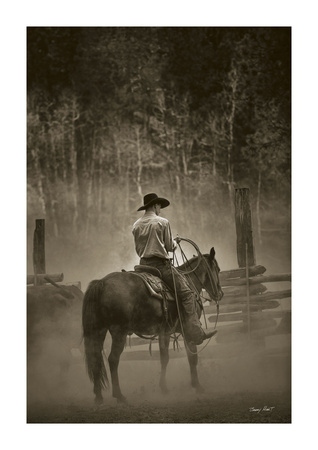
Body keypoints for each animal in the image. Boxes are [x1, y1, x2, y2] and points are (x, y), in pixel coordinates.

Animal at [80, 246, 222, 404]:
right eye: (218, 269)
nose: (220, 293)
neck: (190, 282)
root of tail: (101, 283)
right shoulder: (187, 331)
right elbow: (191, 358)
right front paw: (196, 386)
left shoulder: (164, 332)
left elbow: (164, 358)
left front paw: (164, 387)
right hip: (119, 332)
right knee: (113, 359)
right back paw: (119, 395)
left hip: (98, 330)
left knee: (95, 358)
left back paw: (98, 396)